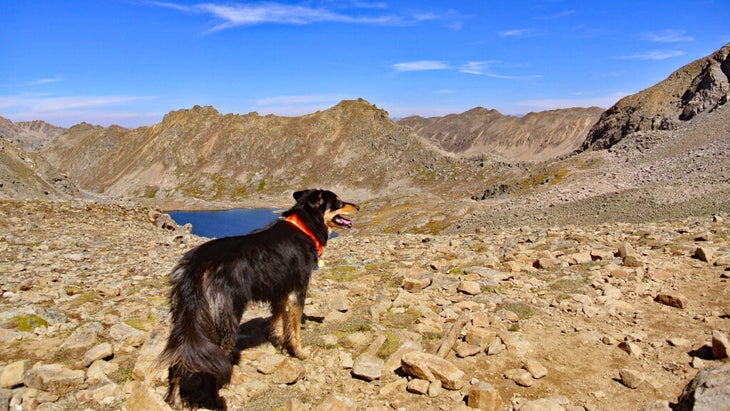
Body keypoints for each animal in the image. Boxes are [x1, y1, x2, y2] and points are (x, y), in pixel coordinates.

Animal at [158, 191, 356, 411]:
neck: (305, 226)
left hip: (187, 319)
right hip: (225, 320)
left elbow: (279, 319)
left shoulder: (280, 291)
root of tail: (196, 265)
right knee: (211, 367)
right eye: (338, 202)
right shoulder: (297, 290)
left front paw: (278, 341)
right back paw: (218, 401)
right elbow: (294, 328)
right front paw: (300, 352)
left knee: (179, 359)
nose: (357, 206)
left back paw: (173, 400)